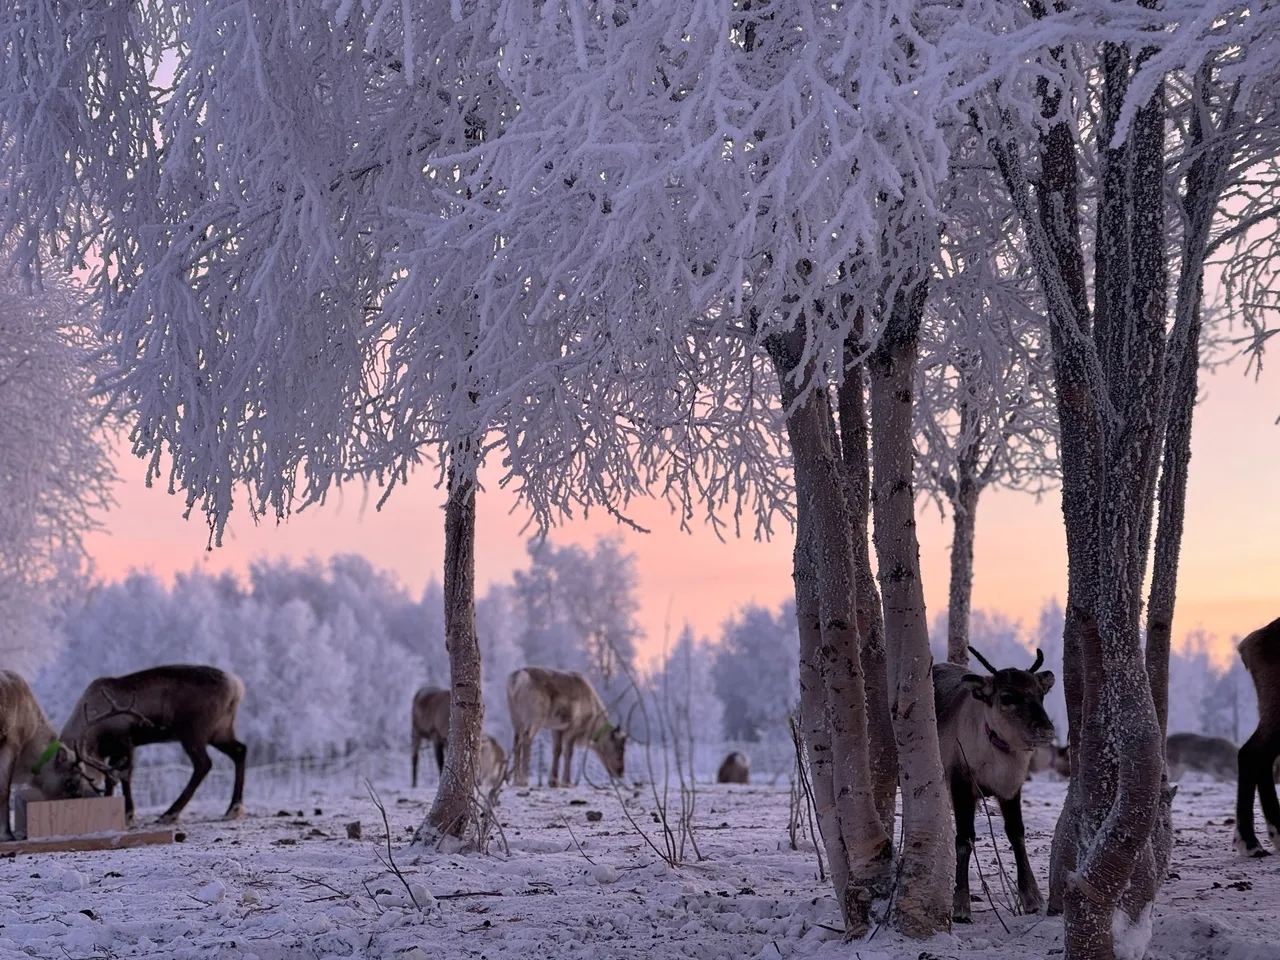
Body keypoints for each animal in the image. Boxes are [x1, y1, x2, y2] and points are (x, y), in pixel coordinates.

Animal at [59, 665, 247, 825]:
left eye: (73, 782)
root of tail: (237, 687)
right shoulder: (112, 752)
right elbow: (111, 778)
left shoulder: (125, 742)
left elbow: (124, 775)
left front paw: (128, 814)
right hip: (220, 732)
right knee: (239, 750)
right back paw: (233, 809)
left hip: (193, 732)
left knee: (203, 764)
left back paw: (169, 814)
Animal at [934, 645, 1056, 921]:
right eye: (1008, 696)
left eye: (1041, 694)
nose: (1046, 730)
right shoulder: (961, 782)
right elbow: (964, 838)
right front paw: (960, 905)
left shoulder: (1011, 788)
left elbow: (1017, 833)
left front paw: (1032, 898)